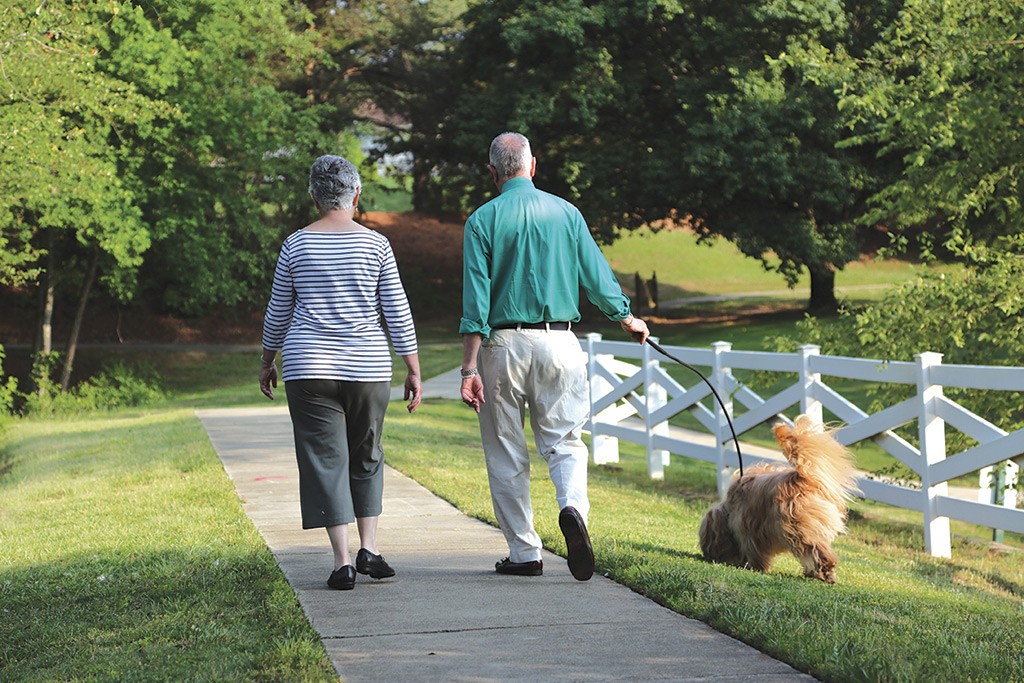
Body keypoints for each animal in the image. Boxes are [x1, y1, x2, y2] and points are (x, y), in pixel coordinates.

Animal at [700, 413, 860, 585]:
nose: (707, 553)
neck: (728, 510)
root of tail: (803, 478)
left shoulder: (747, 528)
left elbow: (754, 550)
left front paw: (756, 566)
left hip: (797, 526)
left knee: (814, 548)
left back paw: (825, 570)